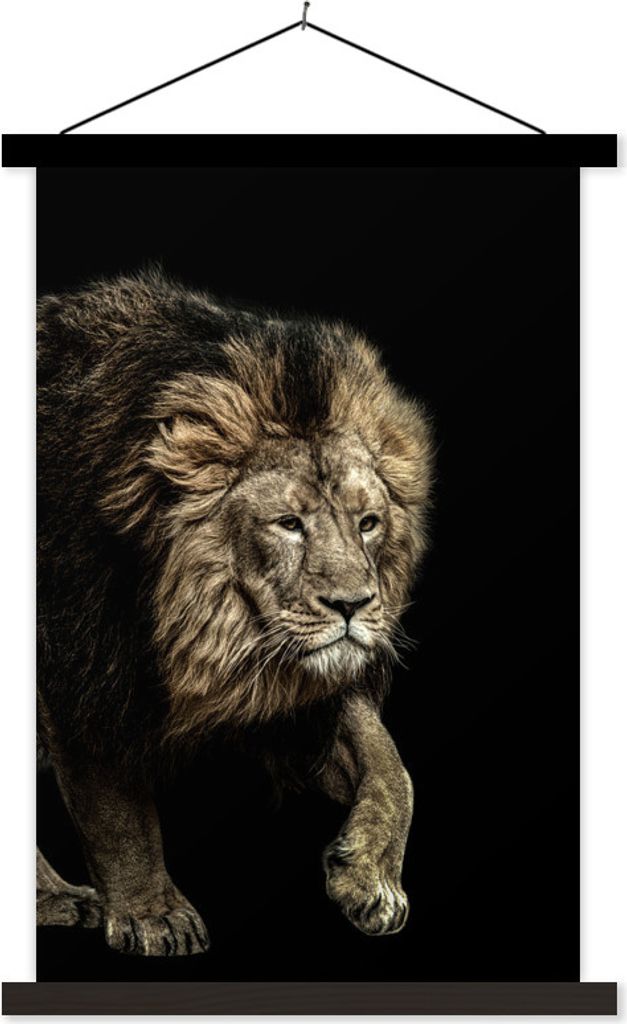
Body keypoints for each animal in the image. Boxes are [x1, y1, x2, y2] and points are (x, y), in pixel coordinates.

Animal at [36, 269, 433, 956]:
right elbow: (115, 805)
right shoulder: (84, 664)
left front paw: (370, 879)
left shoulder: (296, 693)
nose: (353, 605)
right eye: (289, 523)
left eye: (368, 522)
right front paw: (154, 915)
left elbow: (392, 766)